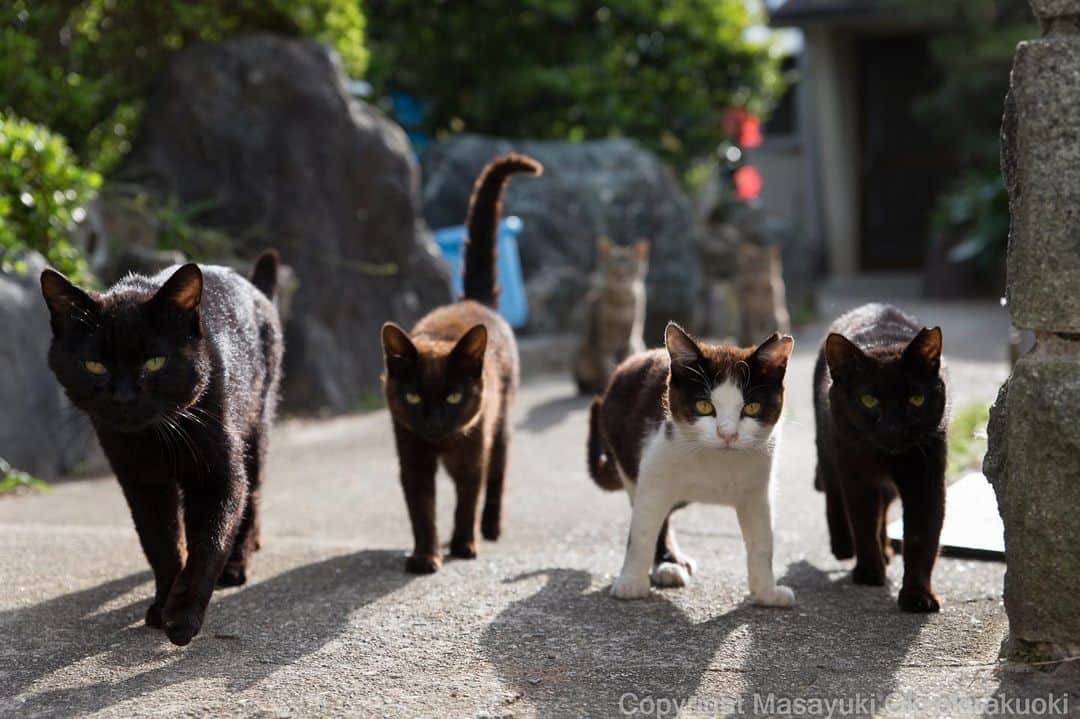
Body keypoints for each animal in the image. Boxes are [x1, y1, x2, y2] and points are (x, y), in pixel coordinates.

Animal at [39, 253, 282, 643]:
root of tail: (252, 285)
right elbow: (161, 542)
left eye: (154, 362)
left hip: (256, 427)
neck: (155, 438)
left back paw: (238, 563)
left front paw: (183, 616)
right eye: (94, 365)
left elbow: (211, 540)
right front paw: (164, 602)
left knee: (253, 497)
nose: (124, 397)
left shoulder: (218, 475)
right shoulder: (141, 481)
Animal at [384, 154, 544, 574]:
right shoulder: (412, 454)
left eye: (455, 397)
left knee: (497, 475)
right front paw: (426, 557)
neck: (442, 444)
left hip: (500, 425)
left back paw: (490, 527)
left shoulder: (473, 449)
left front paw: (462, 545)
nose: (435, 421)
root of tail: (472, 300)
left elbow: (466, 499)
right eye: (413, 396)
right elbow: (422, 509)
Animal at [574, 236, 648, 392]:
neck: (621, 303)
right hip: (583, 354)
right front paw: (608, 385)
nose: (620, 276)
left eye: (629, 267)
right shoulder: (603, 344)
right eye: (612, 267)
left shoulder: (628, 340)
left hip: (639, 344)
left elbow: (625, 361)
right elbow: (607, 368)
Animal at [587, 321, 799, 600]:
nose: (727, 434)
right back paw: (667, 564)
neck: (714, 461)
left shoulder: (758, 488)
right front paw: (631, 582)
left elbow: (762, 541)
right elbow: (641, 532)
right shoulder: (654, 470)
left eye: (752, 407)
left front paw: (766, 592)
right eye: (704, 406)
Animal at [812, 300, 950, 608]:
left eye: (916, 399)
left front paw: (917, 595)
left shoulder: (925, 477)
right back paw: (842, 546)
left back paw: (886, 549)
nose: (893, 426)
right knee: (833, 494)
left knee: (884, 507)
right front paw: (869, 572)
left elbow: (921, 536)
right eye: (869, 400)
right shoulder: (856, 472)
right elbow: (863, 521)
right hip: (829, 447)